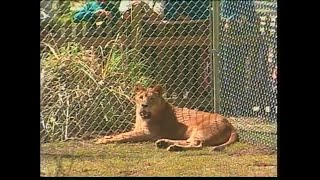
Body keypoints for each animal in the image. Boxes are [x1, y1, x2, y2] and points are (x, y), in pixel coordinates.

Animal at [96, 85, 239, 151]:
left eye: (151, 99)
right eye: (141, 97)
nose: (144, 105)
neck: (142, 116)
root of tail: (231, 125)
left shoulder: (148, 133)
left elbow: (124, 136)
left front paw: (102, 140)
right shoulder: (137, 129)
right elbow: (122, 133)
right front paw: (106, 137)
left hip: (201, 130)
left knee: (197, 144)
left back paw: (174, 148)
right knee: (189, 141)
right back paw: (163, 143)